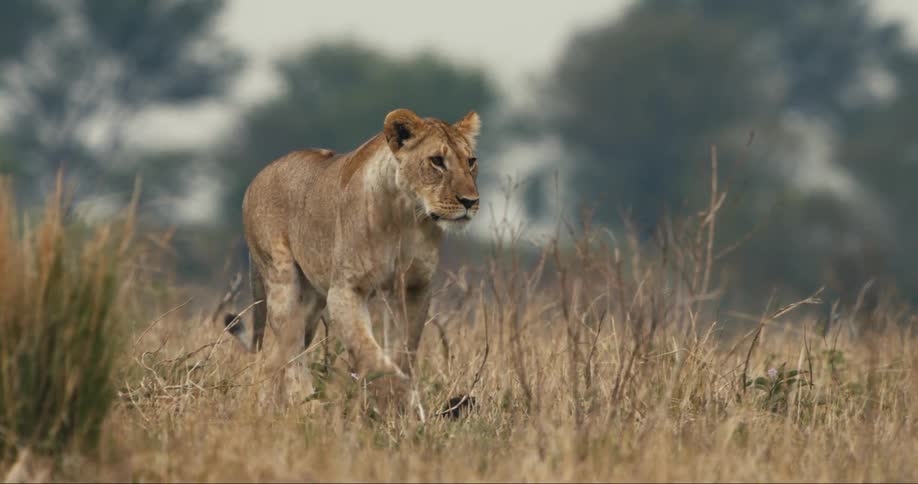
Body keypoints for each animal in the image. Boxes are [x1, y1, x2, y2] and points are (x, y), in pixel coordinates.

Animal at [226, 108, 480, 411]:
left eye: (471, 161)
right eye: (437, 161)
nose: (470, 201)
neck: (405, 216)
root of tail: (258, 176)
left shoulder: (414, 288)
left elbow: (403, 350)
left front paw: (402, 406)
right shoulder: (347, 289)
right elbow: (371, 353)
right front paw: (398, 396)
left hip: (311, 303)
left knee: (274, 357)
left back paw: (266, 407)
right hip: (283, 282)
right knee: (291, 352)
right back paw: (307, 404)